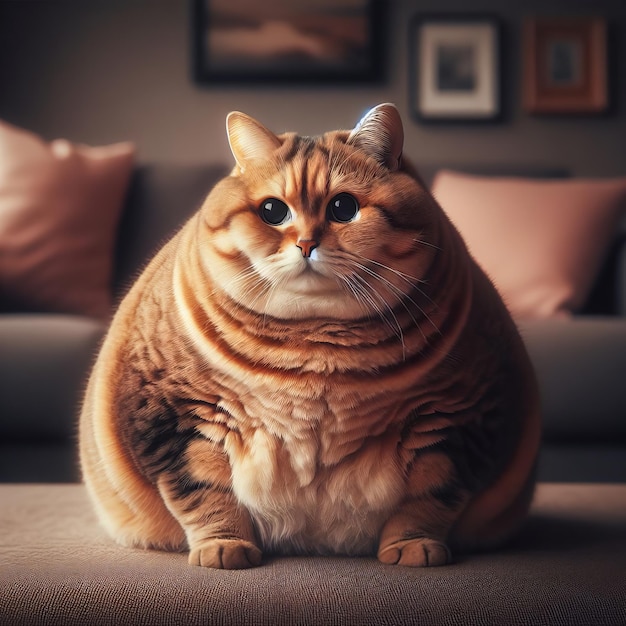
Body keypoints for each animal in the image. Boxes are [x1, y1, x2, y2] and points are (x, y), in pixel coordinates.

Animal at [80, 105, 540, 568]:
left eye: (343, 207)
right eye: (272, 210)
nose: (305, 243)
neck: (316, 348)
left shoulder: (457, 420)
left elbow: (430, 496)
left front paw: (413, 549)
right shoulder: (175, 417)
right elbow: (203, 493)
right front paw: (223, 547)